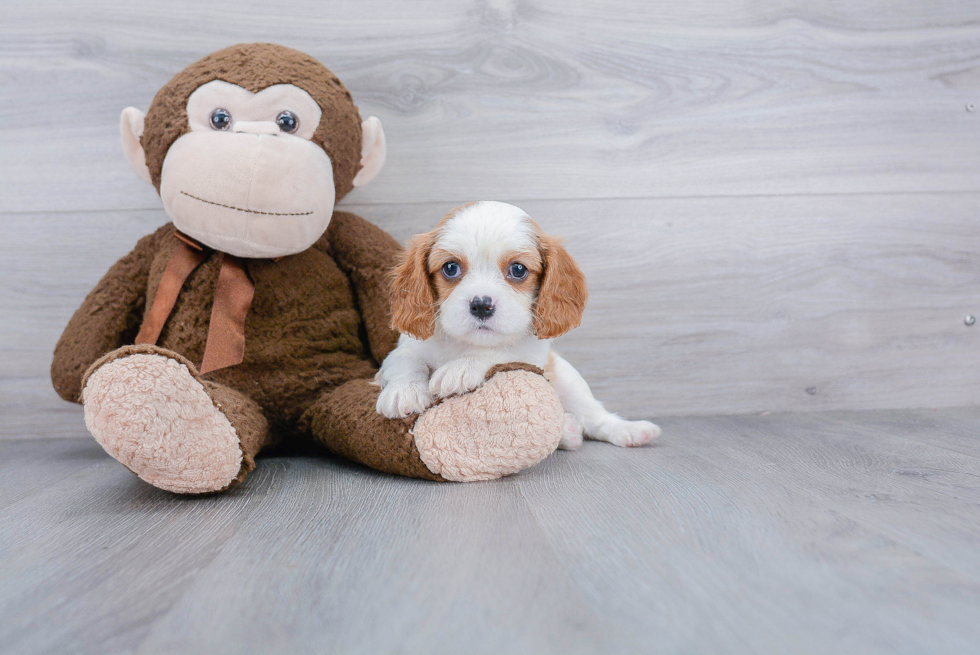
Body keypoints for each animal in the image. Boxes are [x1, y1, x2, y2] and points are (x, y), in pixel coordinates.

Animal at [374, 204, 660, 452]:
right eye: (451, 268)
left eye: (518, 269)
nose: (481, 305)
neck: (466, 343)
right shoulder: (404, 348)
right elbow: (405, 361)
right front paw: (404, 392)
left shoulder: (530, 356)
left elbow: (500, 353)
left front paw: (462, 368)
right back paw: (569, 430)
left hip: (569, 379)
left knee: (595, 417)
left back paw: (627, 430)